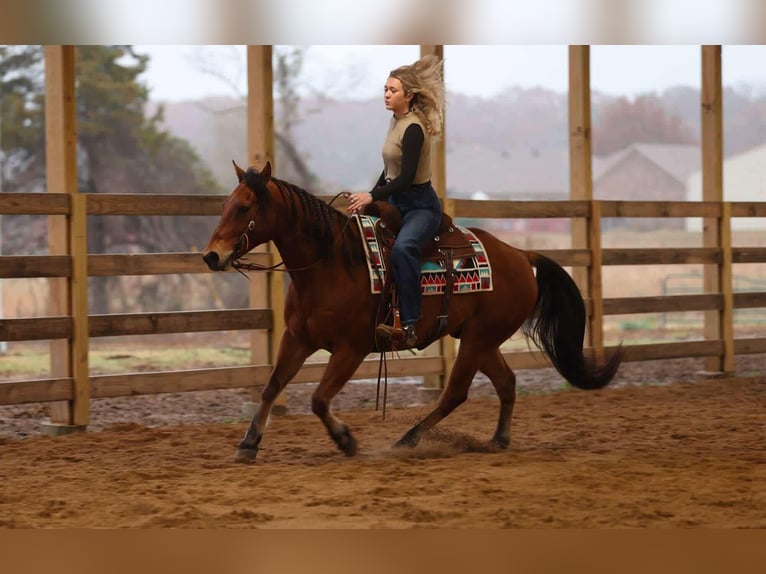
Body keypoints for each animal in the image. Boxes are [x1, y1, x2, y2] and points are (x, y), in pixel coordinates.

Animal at [202, 161, 622, 463]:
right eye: (223, 205)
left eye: (244, 207)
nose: (211, 256)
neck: (332, 263)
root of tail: (521, 255)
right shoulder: (298, 338)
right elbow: (272, 386)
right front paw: (249, 443)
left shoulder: (351, 349)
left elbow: (319, 398)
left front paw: (346, 440)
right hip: (480, 339)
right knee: (506, 383)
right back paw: (498, 439)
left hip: (478, 340)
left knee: (455, 393)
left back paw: (409, 439)